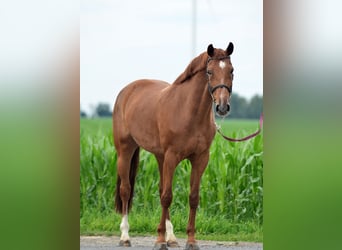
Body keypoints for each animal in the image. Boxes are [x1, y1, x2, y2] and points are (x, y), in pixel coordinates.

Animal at [113, 43, 234, 250]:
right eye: (209, 72)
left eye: (231, 71)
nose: (222, 107)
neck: (188, 111)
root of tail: (126, 91)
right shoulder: (172, 156)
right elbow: (167, 197)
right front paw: (159, 241)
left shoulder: (200, 158)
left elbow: (192, 198)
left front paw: (190, 240)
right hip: (125, 151)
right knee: (126, 190)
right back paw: (125, 236)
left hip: (160, 157)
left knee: (161, 188)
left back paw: (171, 238)